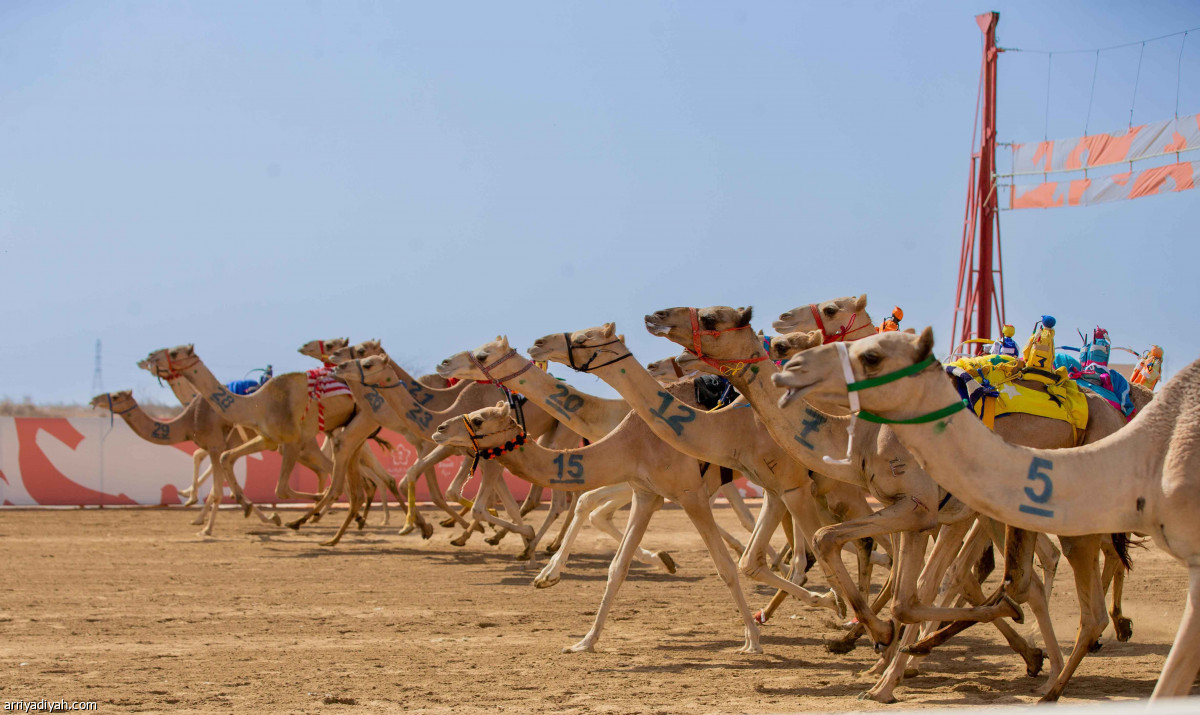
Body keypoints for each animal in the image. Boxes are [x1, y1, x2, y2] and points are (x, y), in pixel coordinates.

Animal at [772, 328, 1200, 700]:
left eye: (869, 356)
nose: (786, 363)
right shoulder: (920, 511)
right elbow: (908, 586)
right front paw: (880, 654)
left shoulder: (929, 508)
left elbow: (928, 581)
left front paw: (887, 667)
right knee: (1045, 573)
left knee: (1074, 582)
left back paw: (1061, 669)